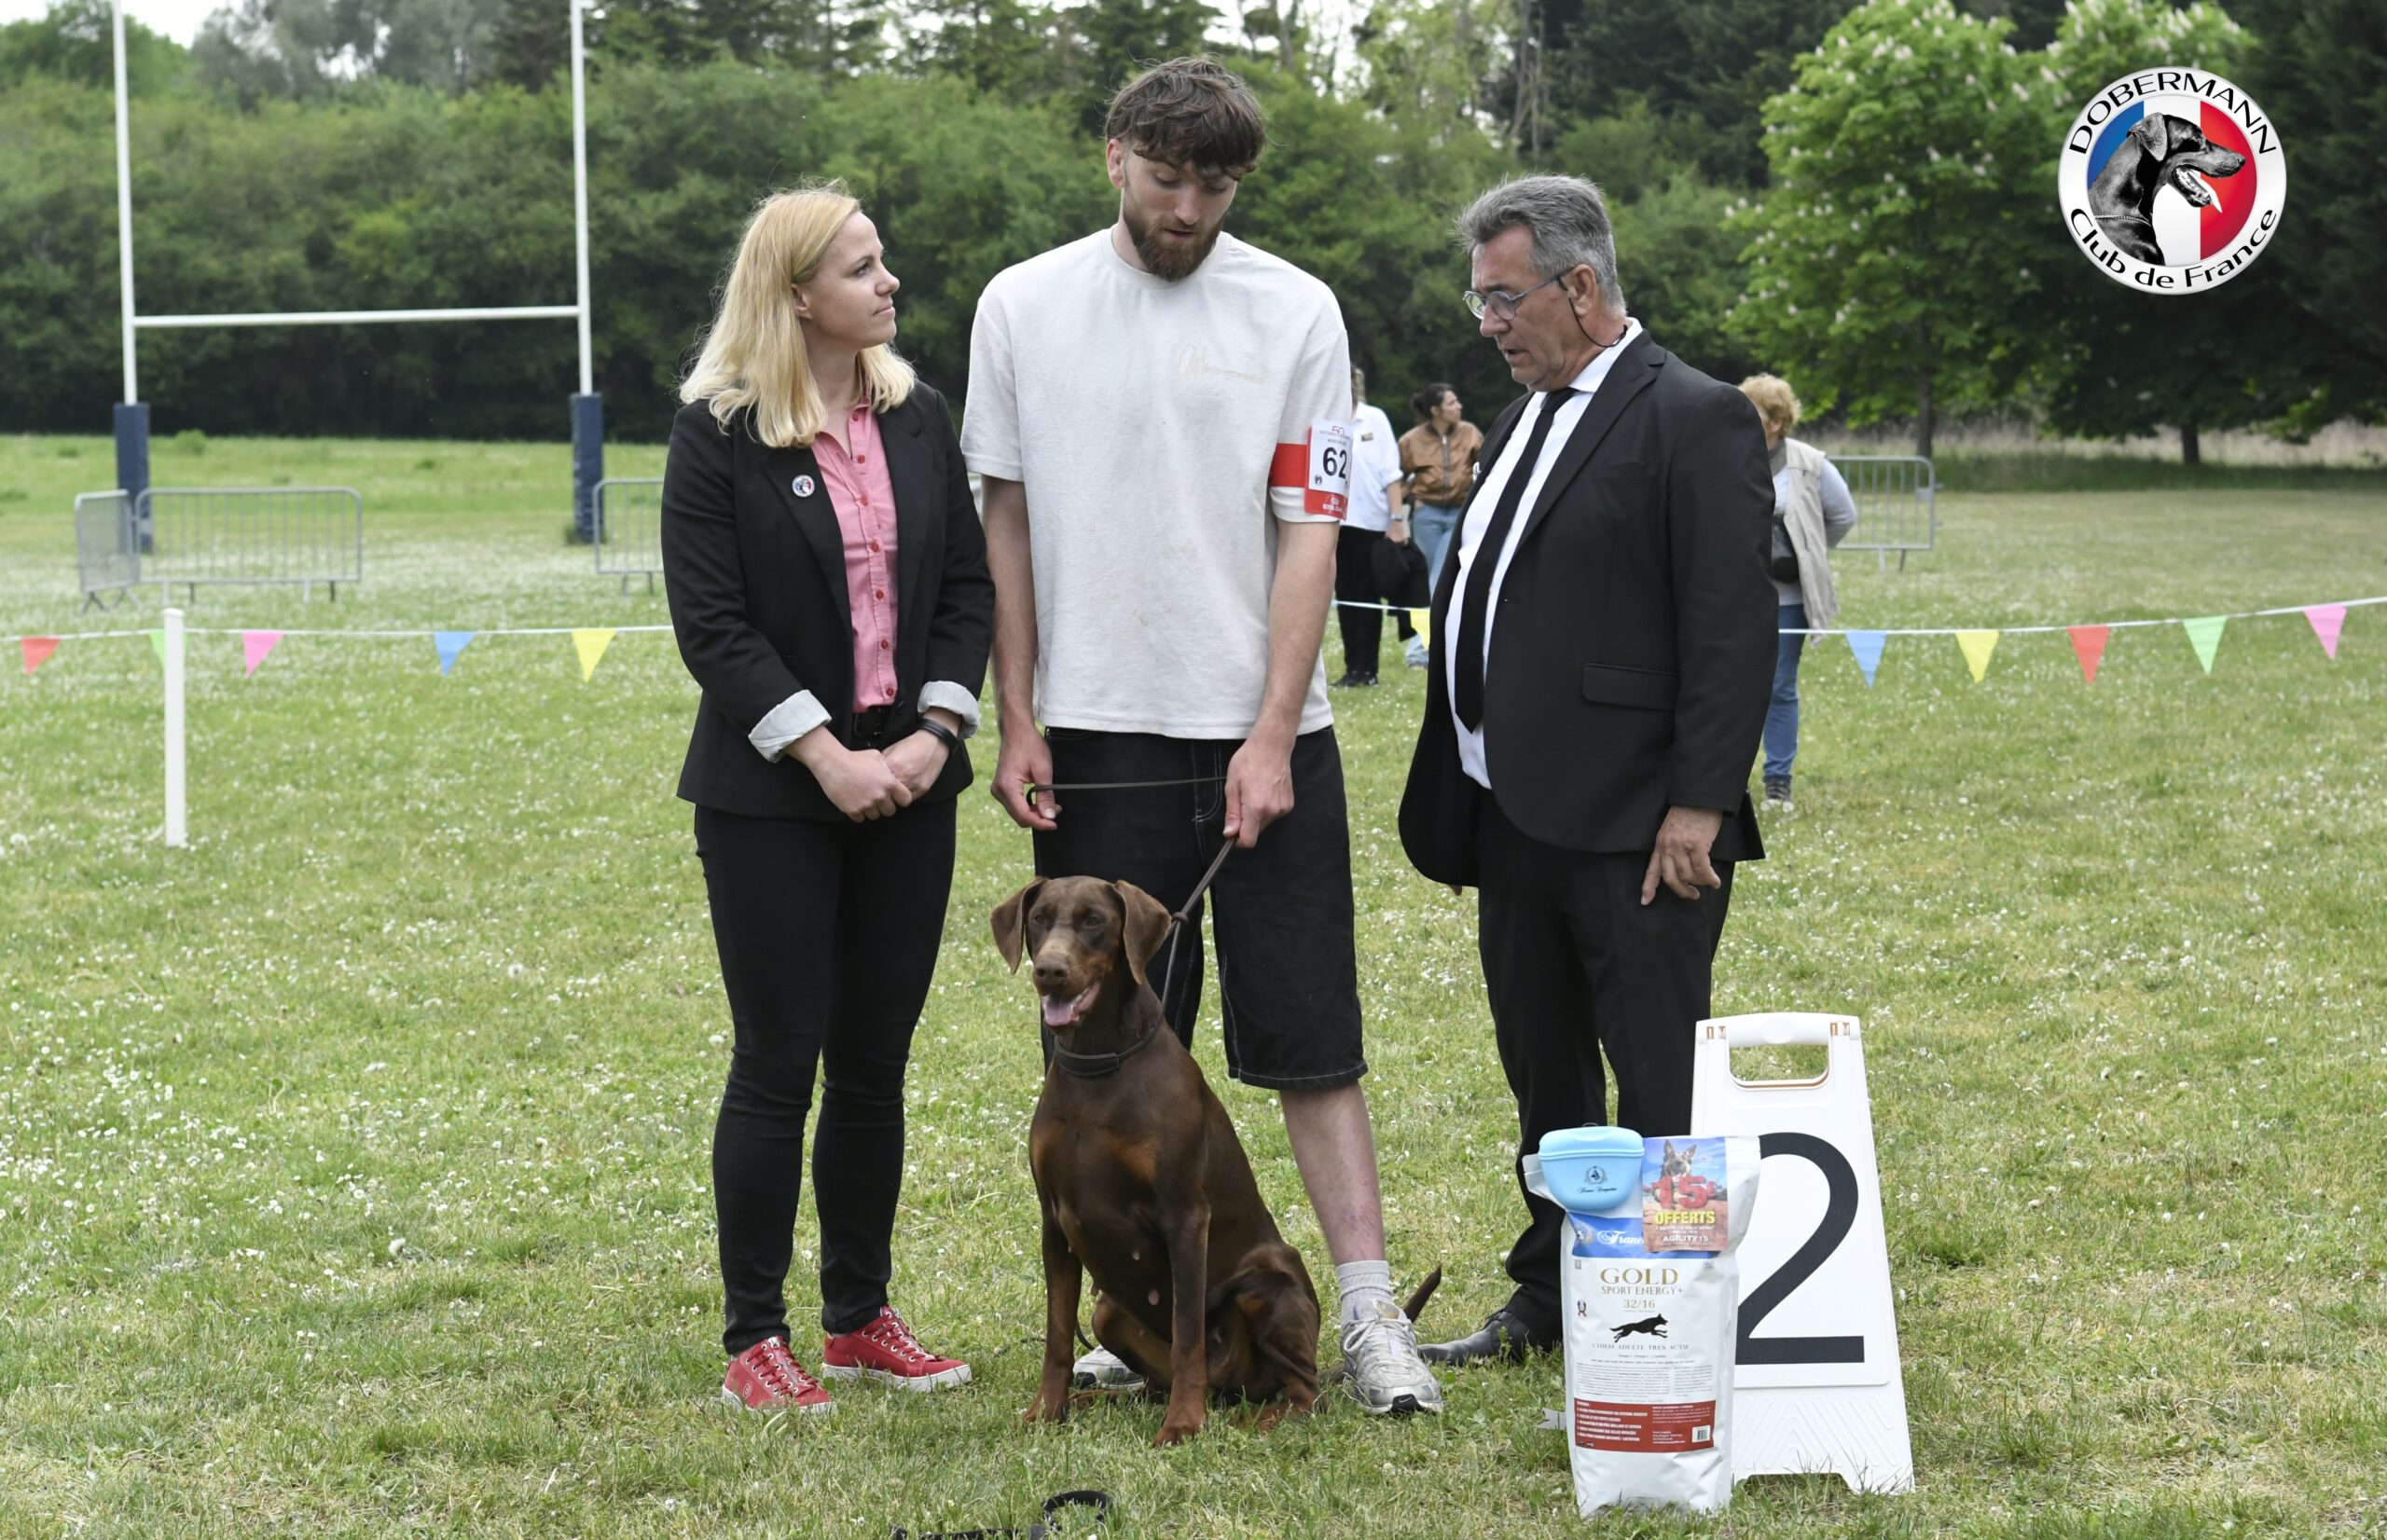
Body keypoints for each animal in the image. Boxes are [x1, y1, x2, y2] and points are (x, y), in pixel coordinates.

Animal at [993, 875, 1437, 1444]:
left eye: (1094, 920)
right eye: (1039, 919)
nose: (1049, 970)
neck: (1098, 1064)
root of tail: (1232, 1383)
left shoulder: (1184, 1215)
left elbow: (1187, 1336)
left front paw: (1183, 1424)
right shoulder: (1055, 1222)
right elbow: (1056, 1335)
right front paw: (1047, 1412)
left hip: (1268, 1284)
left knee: (1305, 1390)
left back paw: (1255, 1417)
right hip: (1109, 1311)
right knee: (1153, 1379)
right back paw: (1099, 1398)